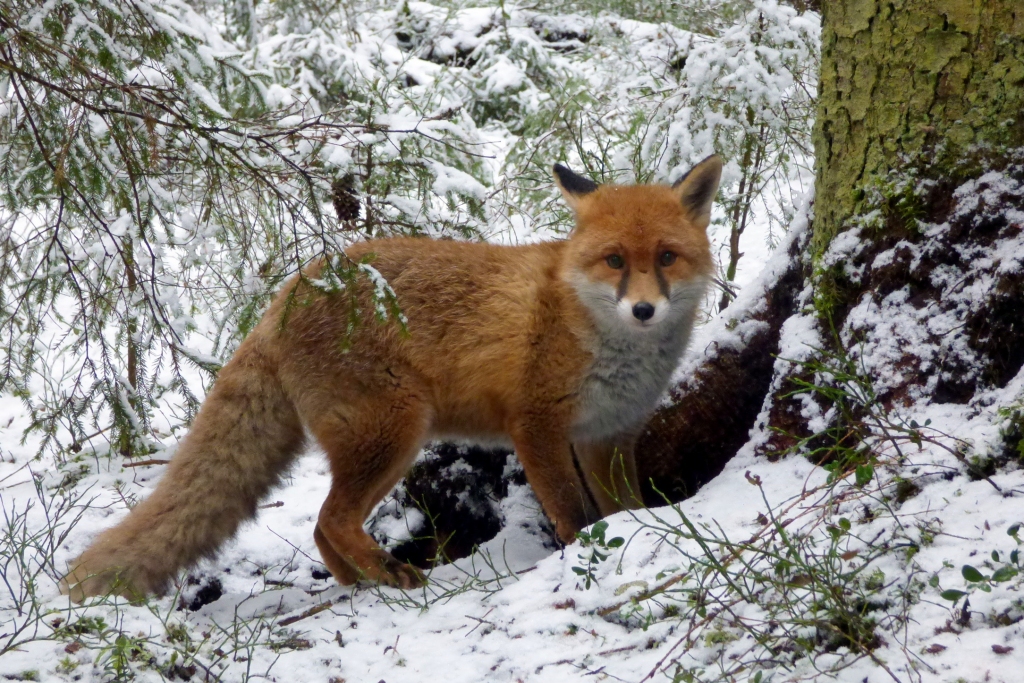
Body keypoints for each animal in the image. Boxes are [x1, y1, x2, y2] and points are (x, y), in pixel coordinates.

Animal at [61, 156, 720, 602]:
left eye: (666, 257)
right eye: (614, 260)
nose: (644, 310)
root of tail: (281, 301)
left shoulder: (610, 434)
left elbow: (625, 508)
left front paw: (637, 535)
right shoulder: (535, 424)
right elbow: (572, 512)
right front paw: (584, 552)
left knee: (324, 528)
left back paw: (359, 583)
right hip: (395, 432)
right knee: (331, 519)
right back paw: (387, 574)